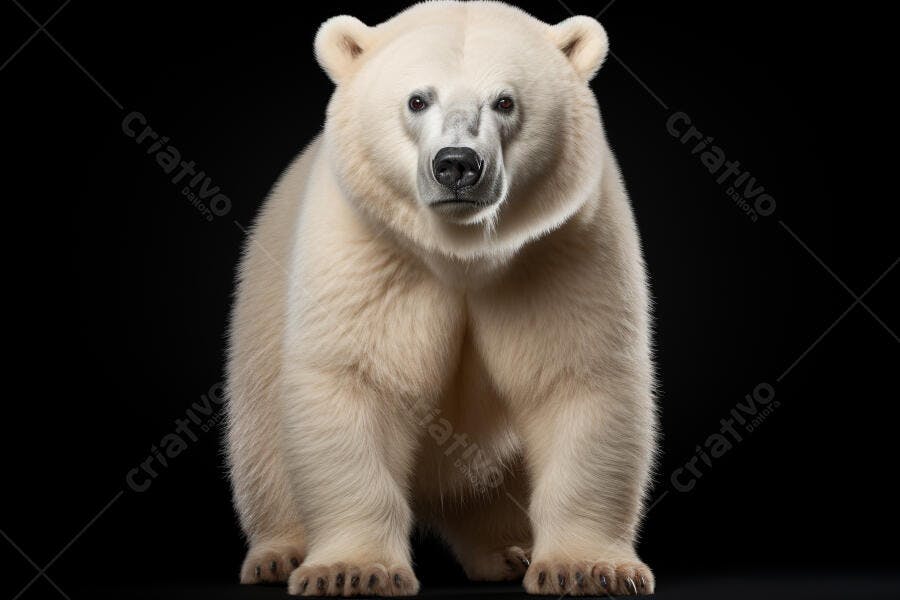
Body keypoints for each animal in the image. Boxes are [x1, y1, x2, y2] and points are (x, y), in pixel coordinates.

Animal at [224, 1, 657, 596]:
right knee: (264, 445)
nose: (457, 164)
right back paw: (278, 553)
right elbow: (357, 380)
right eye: (417, 99)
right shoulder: (370, 253)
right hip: (259, 322)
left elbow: (578, 379)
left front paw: (586, 568)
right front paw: (351, 570)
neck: (463, 254)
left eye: (504, 101)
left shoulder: (560, 249)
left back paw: (508, 550)